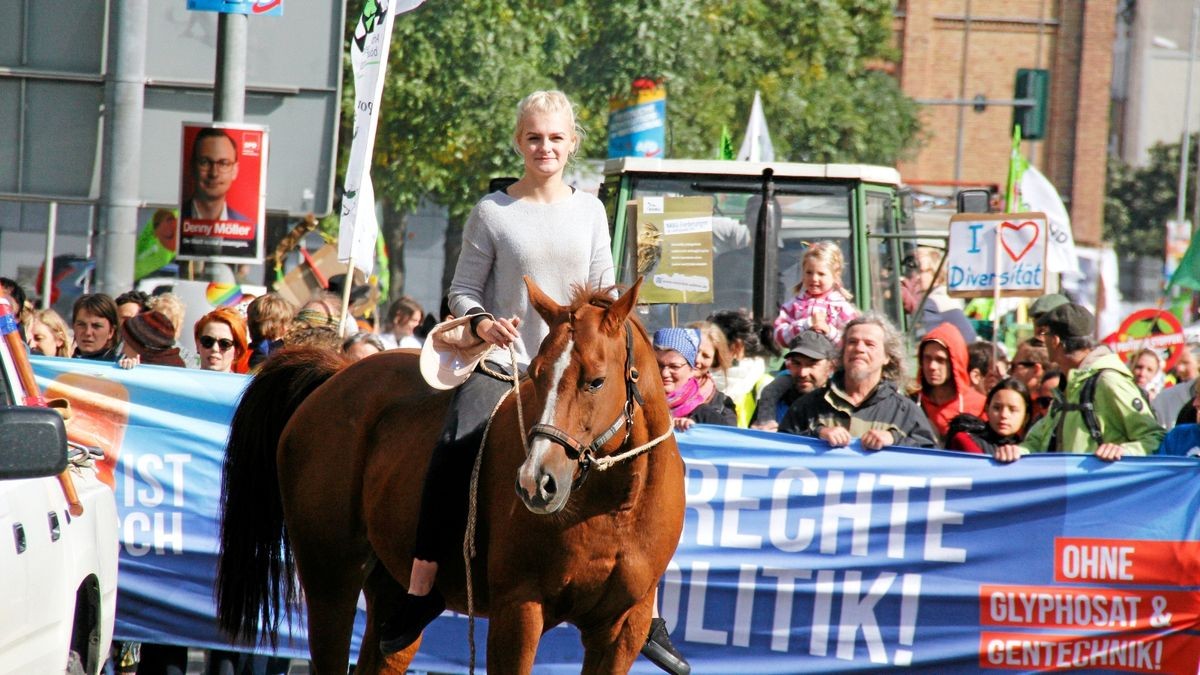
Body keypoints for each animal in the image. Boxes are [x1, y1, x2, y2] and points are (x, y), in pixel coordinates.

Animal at [213, 276, 686, 667]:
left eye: (596, 381)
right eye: (537, 375)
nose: (537, 482)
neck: (613, 509)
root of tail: (337, 373)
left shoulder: (620, 632)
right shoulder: (519, 614)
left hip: (387, 592)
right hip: (331, 579)